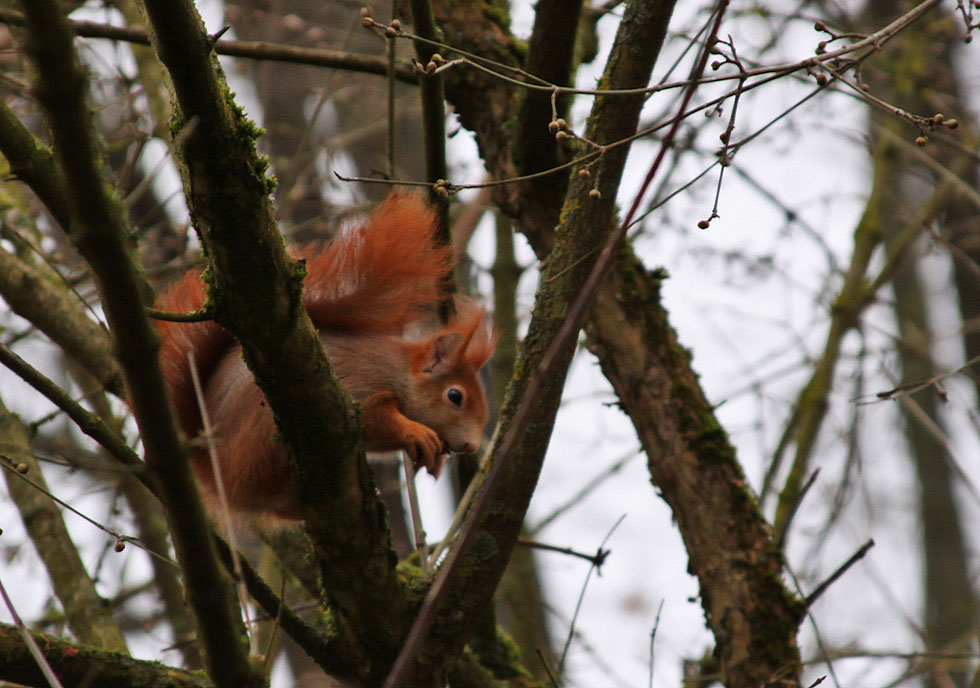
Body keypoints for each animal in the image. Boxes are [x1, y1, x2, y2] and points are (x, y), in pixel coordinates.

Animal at [156, 195, 494, 520]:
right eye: (455, 396)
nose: (471, 446)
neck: (395, 371)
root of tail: (218, 477)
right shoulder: (361, 385)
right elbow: (374, 419)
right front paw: (416, 431)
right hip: (260, 439)